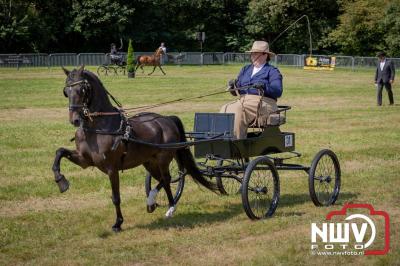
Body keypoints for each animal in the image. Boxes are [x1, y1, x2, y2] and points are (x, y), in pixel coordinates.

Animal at [53, 65, 219, 232]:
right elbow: (60, 152)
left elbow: (116, 197)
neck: (98, 128)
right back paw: (152, 202)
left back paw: (170, 207)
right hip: (149, 162)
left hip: (163, 159)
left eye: (82, 89)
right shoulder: (84, 161)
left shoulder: (112, 168)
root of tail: (167, 119)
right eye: (66, 91)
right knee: (162, 179)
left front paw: (118, 223)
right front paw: (61, 181)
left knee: (167, 179)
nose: (74, 120)